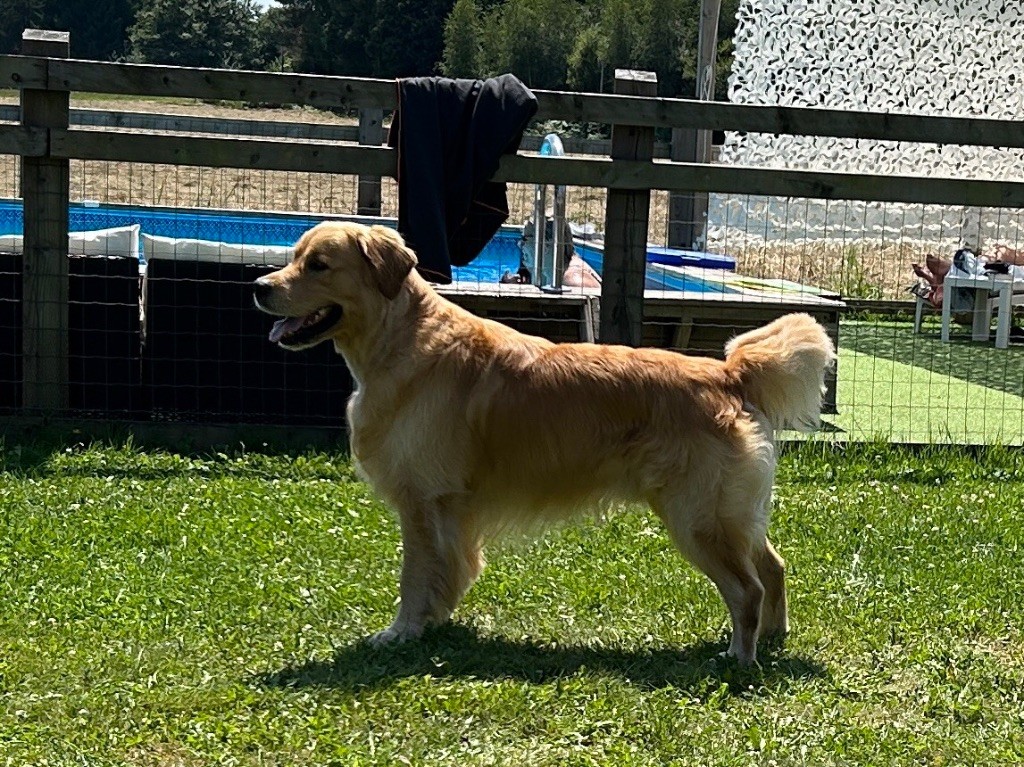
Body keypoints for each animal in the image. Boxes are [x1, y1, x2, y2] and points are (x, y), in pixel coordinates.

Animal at [251, 221, 835, 663]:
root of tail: (728, 373)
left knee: (747, 587)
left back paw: (740, 656)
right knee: (773, 567)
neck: (403, 339)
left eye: (319, 264)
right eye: (294, 257)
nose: (259, 286)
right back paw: (772, 637)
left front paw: (402, 633)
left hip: (696, 518)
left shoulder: (421, 499)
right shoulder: (448, 511)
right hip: (731, 513)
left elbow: (414, 575)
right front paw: (436, 623)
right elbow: (447, 570)